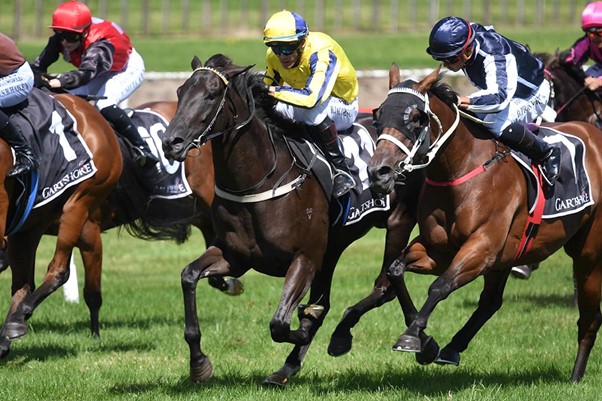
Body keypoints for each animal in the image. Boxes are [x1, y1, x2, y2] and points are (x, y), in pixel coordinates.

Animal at [159, 54, 422, 386]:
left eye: (211, 94)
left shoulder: (305, 258)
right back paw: (288, 366)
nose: (171, 142)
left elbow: (281, 323)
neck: (260, 180)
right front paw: (199, 363)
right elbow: (189, 275)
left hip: (396, 223)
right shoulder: (235, 256)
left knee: (384, 285)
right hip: (333, 246)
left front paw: (304, 329)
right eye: (180, 92)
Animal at [368, 65, 596, 382]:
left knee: (589, 316)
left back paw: (575, 376)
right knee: (491, 302)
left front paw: (412, 336)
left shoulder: (482, 246)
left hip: (588, 251)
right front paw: (426, 343)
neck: (460, 170)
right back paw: (453, 348)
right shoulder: (439, 249)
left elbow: (440, 285)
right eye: (378, 115)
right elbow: (396, 270)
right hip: (508, 255)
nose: (379, 172)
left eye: (416, 117)